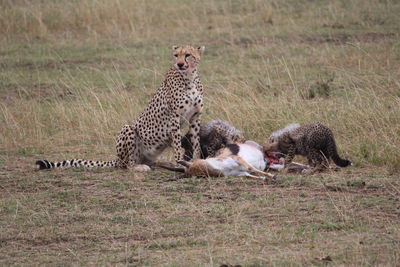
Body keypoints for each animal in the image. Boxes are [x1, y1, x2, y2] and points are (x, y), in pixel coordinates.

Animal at [35, 45, 206, 172]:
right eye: (176, 55)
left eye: (188, 55)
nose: (180, 64)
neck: (189, 77)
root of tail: (117, 159)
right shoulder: (174, 117)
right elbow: (177, 143)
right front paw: (179, 162)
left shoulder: (195, 116)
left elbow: (196, 142)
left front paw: (196, 161)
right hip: (128, 129)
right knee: (127, 165)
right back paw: (139, 167)